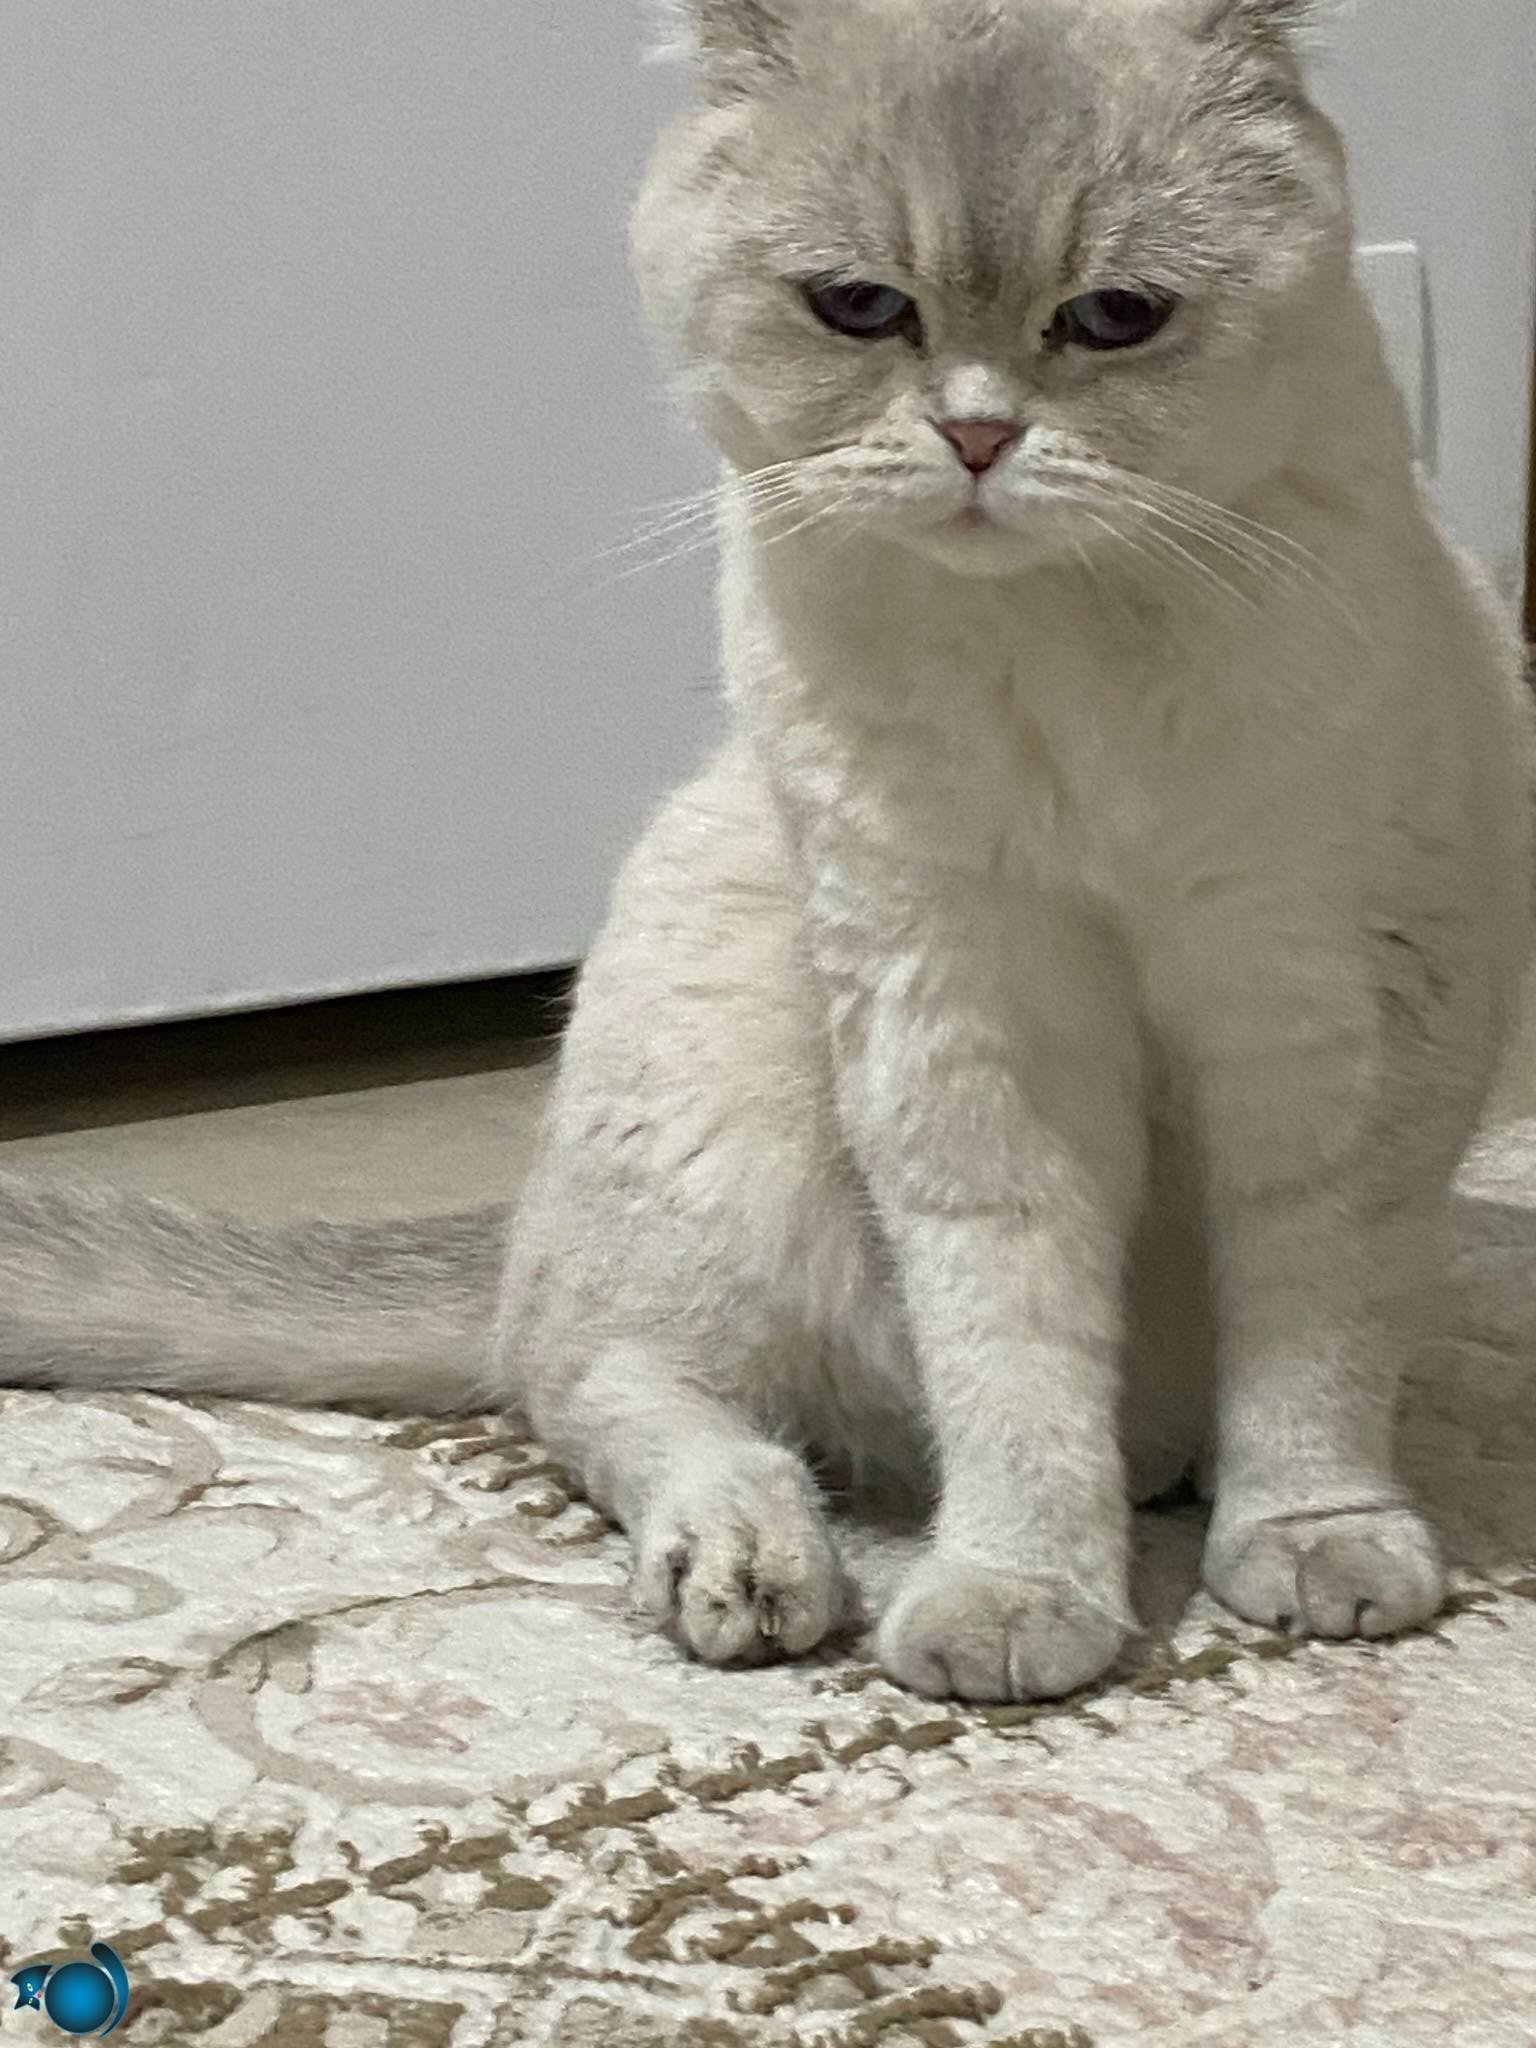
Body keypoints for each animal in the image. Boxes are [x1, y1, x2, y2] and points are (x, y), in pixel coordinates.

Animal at [1, 0, 1531, 1703]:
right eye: (861, 307)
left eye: (1115, 318)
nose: (978, 434)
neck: (1057, 655)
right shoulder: (962, 1012)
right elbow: (1014, 1352)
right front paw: (1019, 1598)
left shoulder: (1322, 1008)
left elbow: (1312, 1333)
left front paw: (1318, 1552)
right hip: (733, 1080)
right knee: (611, 1388)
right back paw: (754, 1570)